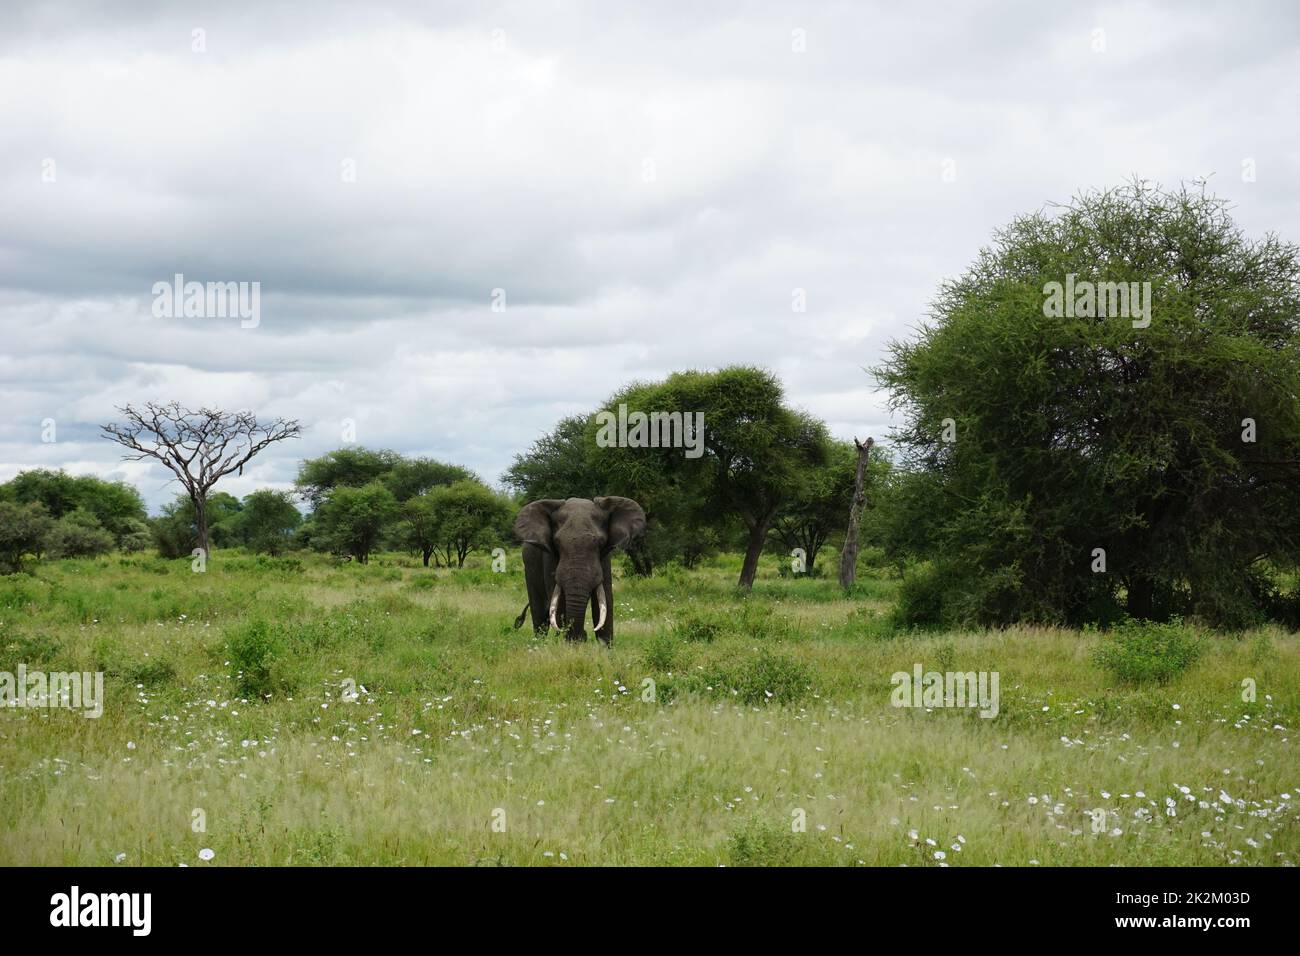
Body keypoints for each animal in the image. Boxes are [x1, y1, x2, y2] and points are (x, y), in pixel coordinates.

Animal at [511, 496, 646, 644]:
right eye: (557, 543)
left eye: (600, 543)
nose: (583, 636)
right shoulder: (550, 558)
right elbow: (559, 601)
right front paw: (570, 643)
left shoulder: (604, 558)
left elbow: (605, 600)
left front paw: (605, 647)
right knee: (540, 615)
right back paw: (539, 643)